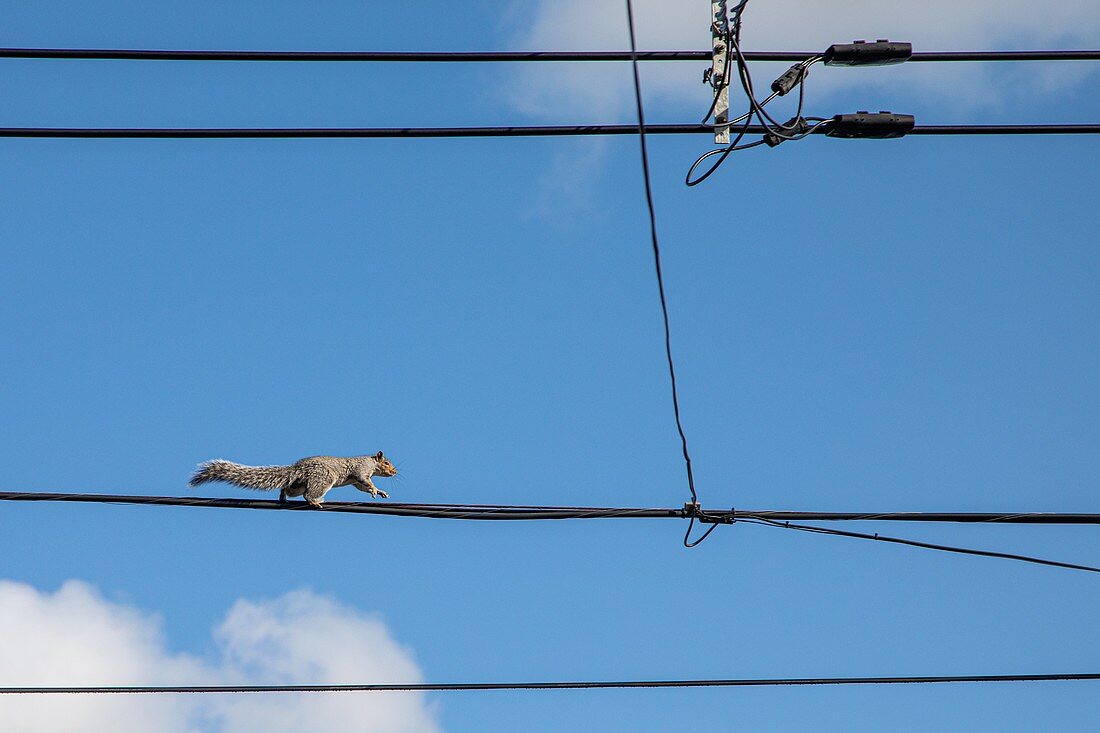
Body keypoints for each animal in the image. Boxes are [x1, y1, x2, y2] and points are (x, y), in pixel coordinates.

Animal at [191, 449, 398, 506]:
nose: (395, 472)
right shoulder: (361, 471)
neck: (371, 462)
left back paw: (282, 497)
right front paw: (375, 489)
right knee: (308, 494)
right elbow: (365, 481)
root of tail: (297, 468)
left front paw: (380, 492)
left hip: (298, 485)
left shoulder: (355, 481)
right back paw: (315, 501)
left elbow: (361, 486)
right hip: (323, 479)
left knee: (288, 489)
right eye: (387, 463)